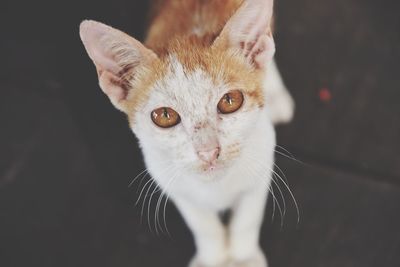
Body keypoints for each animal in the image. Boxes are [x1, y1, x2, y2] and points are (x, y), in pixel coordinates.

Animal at [79, 0, 296, 267]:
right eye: (165, 116)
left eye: (230, 101)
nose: (208, 152)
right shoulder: (168, 180)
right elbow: (202, 225)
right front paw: (213, 257)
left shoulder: (263, 159)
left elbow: (247, 219)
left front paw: (243, 257)